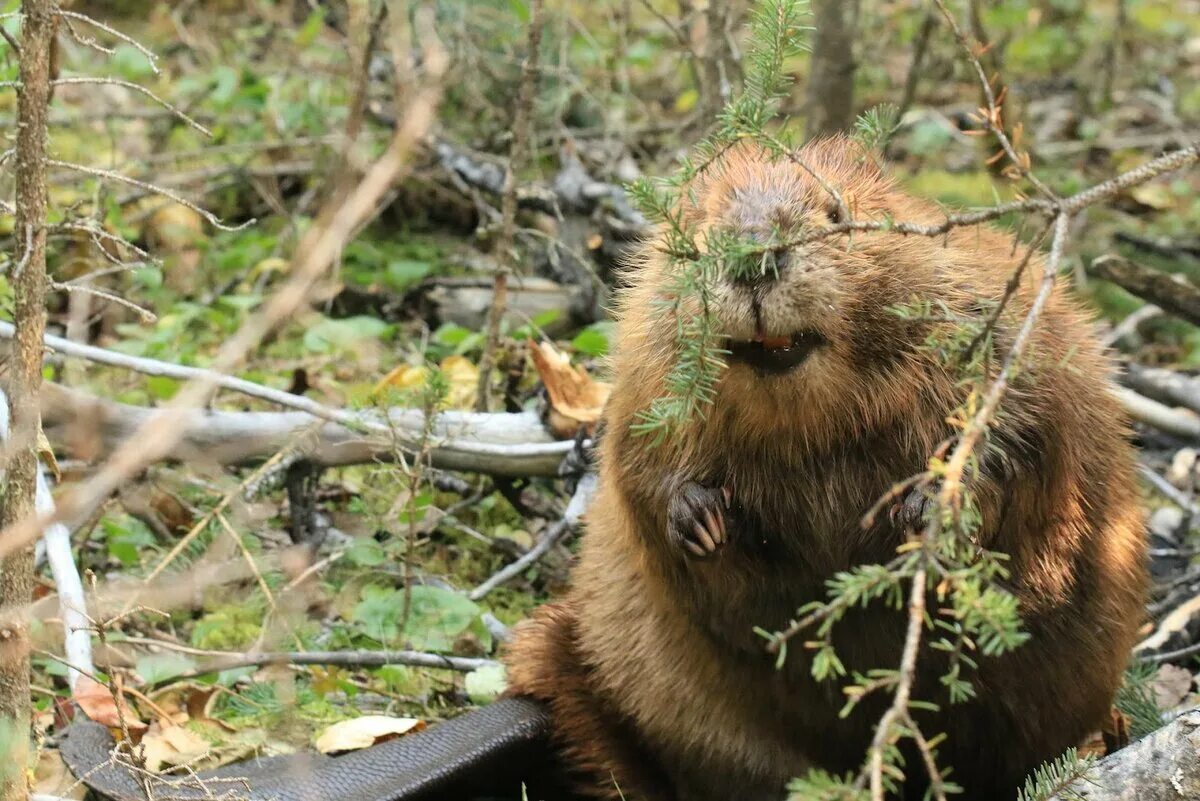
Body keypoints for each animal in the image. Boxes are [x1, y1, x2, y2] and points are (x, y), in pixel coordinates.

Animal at [501, 137, 1147, 801]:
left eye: (836, 213)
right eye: (702, 229)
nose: (753, 259)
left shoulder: (997, 319)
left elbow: (1020, 433)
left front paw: (926, 510)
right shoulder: (640, 369)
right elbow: (640, 460)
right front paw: (702, 519)